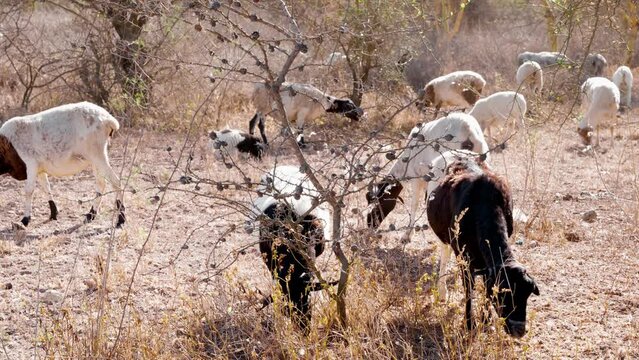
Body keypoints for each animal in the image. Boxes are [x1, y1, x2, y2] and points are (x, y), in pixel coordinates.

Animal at [364, 112, 490, 243]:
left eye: (377, 203)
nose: (370, 226)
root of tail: (468, 131)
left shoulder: (416, 178)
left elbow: (415, 204)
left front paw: (407, 235)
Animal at [430, 151, 540, 338]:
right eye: (504, 296)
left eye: (526, 295)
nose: (519, 330)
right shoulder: (465, 258)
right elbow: (469, 290)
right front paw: (469, 324)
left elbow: (486, 288)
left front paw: (486, 320)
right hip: (444, 238)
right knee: (444, 256)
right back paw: (442, 291)